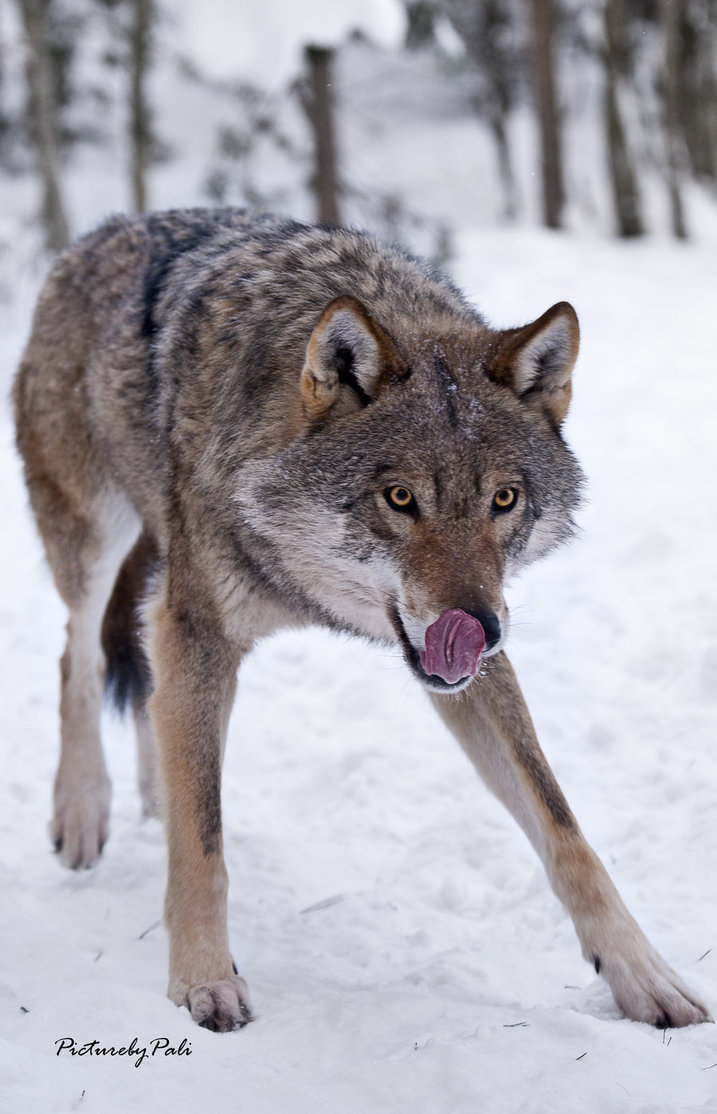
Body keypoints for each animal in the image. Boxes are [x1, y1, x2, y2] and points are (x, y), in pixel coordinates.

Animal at [14, 208, 710, 1032]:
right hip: (95, 539)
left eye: (503, 500)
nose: (480, 625)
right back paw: (82, 810)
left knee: (145, 693)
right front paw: (203, 981)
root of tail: (106, 228)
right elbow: (204, 841)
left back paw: (148, 797)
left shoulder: (468, 668)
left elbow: (564, 830)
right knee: (78, 653)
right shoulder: (202, 630)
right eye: (400, 498)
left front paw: (644, 977)